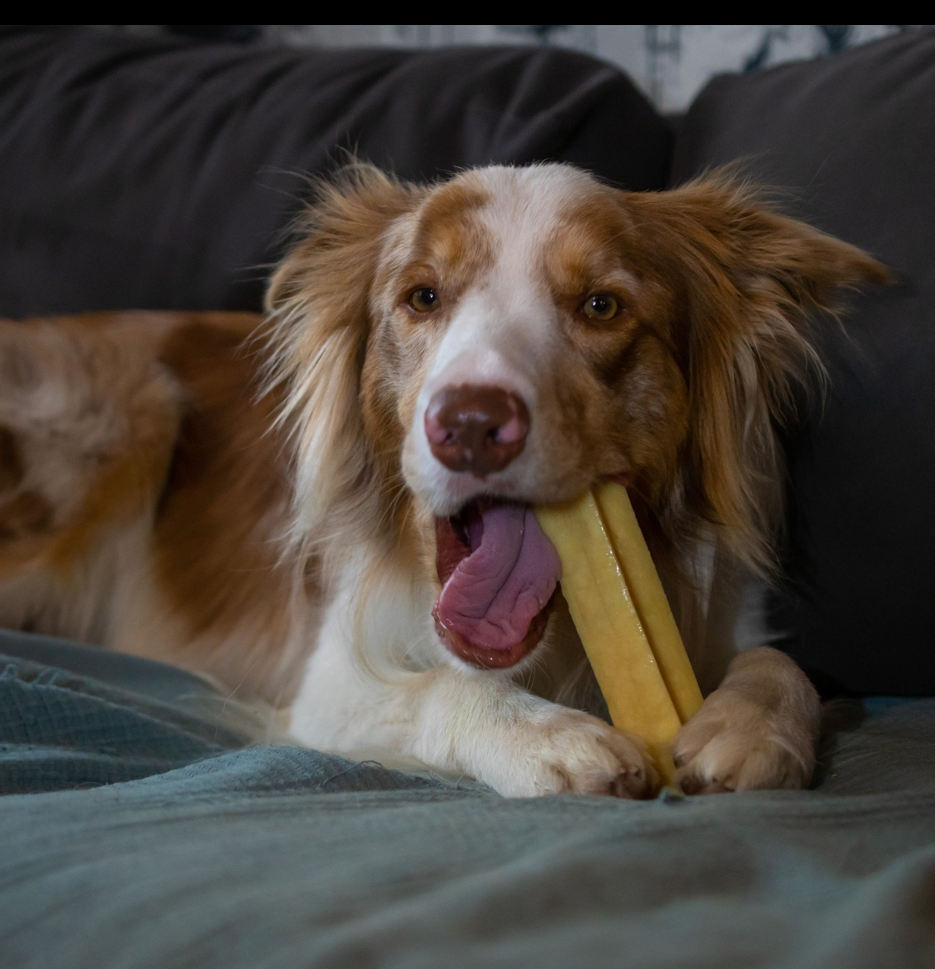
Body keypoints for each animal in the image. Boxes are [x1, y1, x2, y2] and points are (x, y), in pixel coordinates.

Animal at [0, 164, 884, 796]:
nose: (468, 423)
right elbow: (435, 687)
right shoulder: (328, 683)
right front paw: (546, 736)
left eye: (601, 305)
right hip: (126, 417)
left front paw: (751, 727)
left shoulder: (727, 611)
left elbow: (785, 665)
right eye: (422, 296)